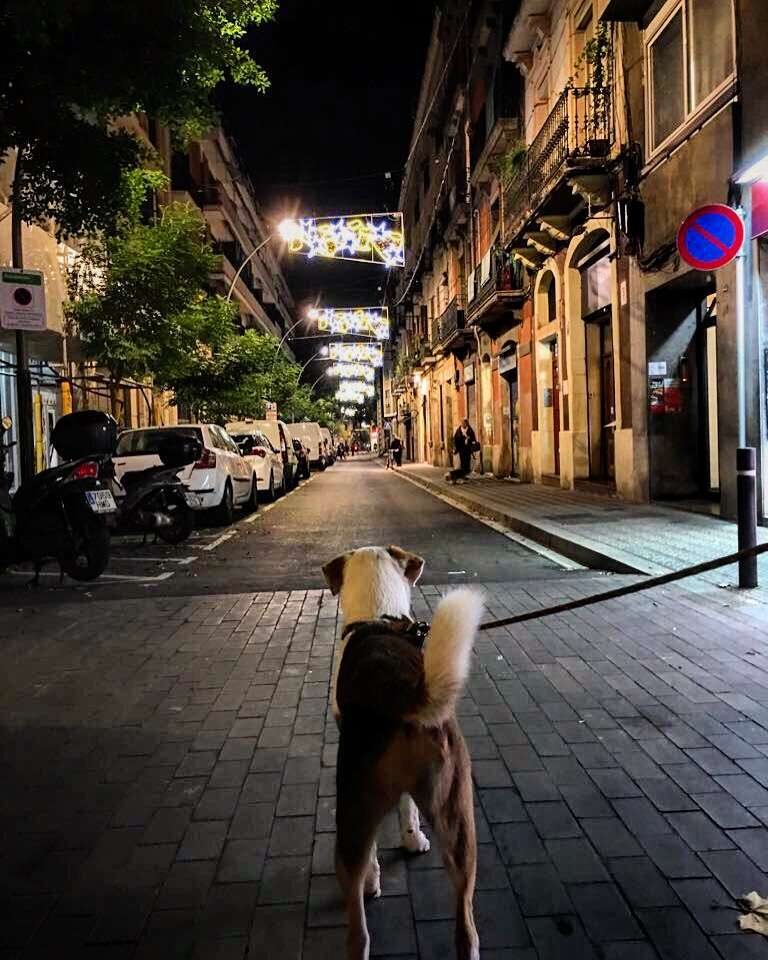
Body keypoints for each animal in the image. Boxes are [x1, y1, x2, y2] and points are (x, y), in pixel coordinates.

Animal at [320, 548, 484, 960]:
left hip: (351, 810)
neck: (381, 615)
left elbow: (373, 851)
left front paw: (374, 877)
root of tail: (401, 692)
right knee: (467, 929)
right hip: (460, 820)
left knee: (358, 932)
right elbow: (408, 807)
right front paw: (413, 840)